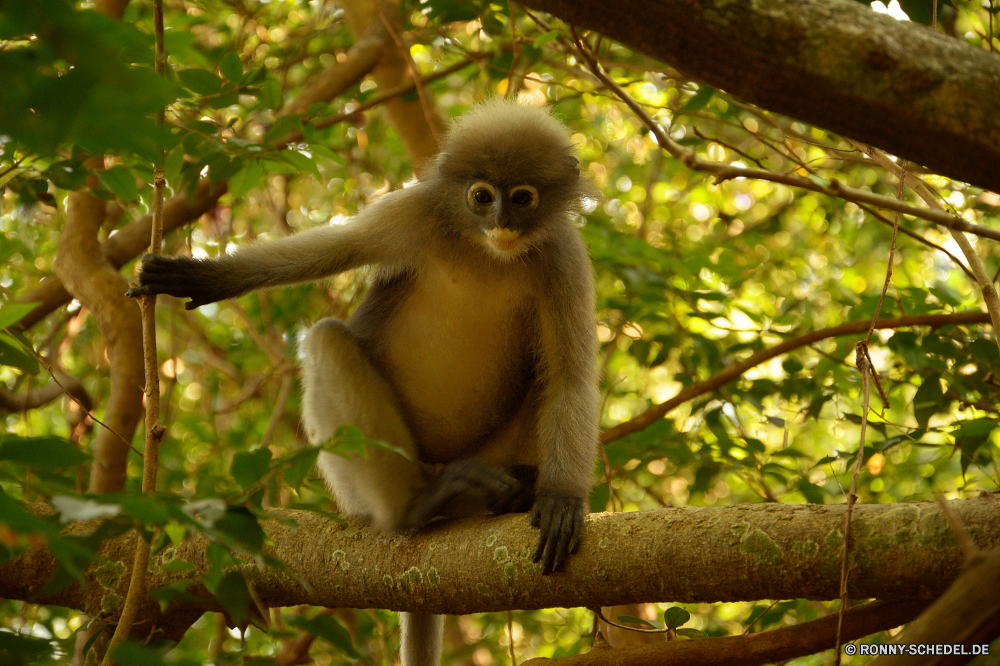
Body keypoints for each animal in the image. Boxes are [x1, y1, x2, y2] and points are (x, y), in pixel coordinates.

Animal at [131, 98, 600, 664]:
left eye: (523, 198)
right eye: (482, 197)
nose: (502, 221)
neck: (486, 255)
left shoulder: (563, 258)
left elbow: (571, 380)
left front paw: (563, 498)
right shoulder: (413, 214)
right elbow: (328, 249)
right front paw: (202, 277)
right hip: (368, 485)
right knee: (328, 341)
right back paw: (417, 507)